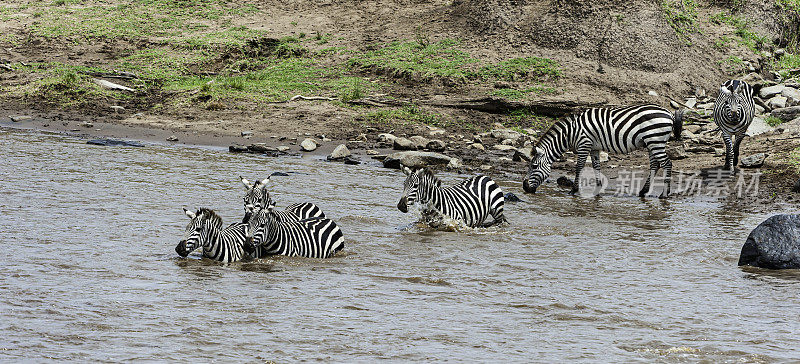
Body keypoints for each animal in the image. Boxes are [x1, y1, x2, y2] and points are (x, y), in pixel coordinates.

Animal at [520, 104, 684, 198]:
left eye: (534, 166)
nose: (525, 188)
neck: (571, 133)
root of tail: (669, 113)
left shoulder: (584, 144)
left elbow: (579, 167)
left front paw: (573, 190)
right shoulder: (594, 148)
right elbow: (596, 167)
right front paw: (598, 190)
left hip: (655, 140)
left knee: (667, 164)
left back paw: (664, 194)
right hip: (651, 142)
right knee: (655, 165)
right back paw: (643, 192)